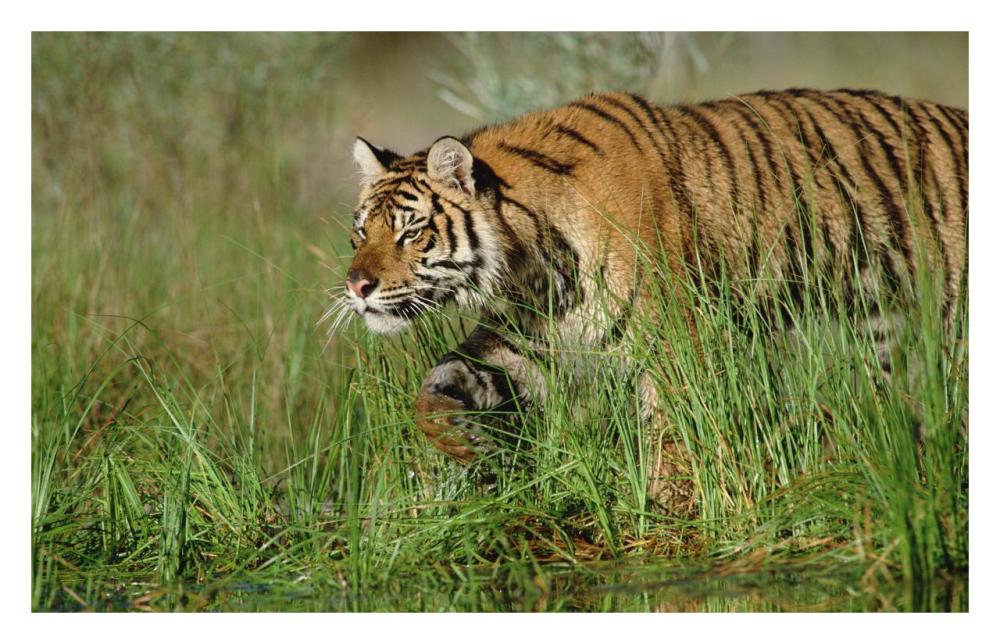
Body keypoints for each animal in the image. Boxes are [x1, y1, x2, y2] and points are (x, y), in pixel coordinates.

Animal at [331, 88, 968, 471]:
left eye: (411, 232)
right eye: (360, 232)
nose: (357, 288)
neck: (532, 269)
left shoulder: (680, 344)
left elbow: (679, 443)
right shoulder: (524, 341)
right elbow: (438, 385)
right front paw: (463, 442)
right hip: (887, 335)